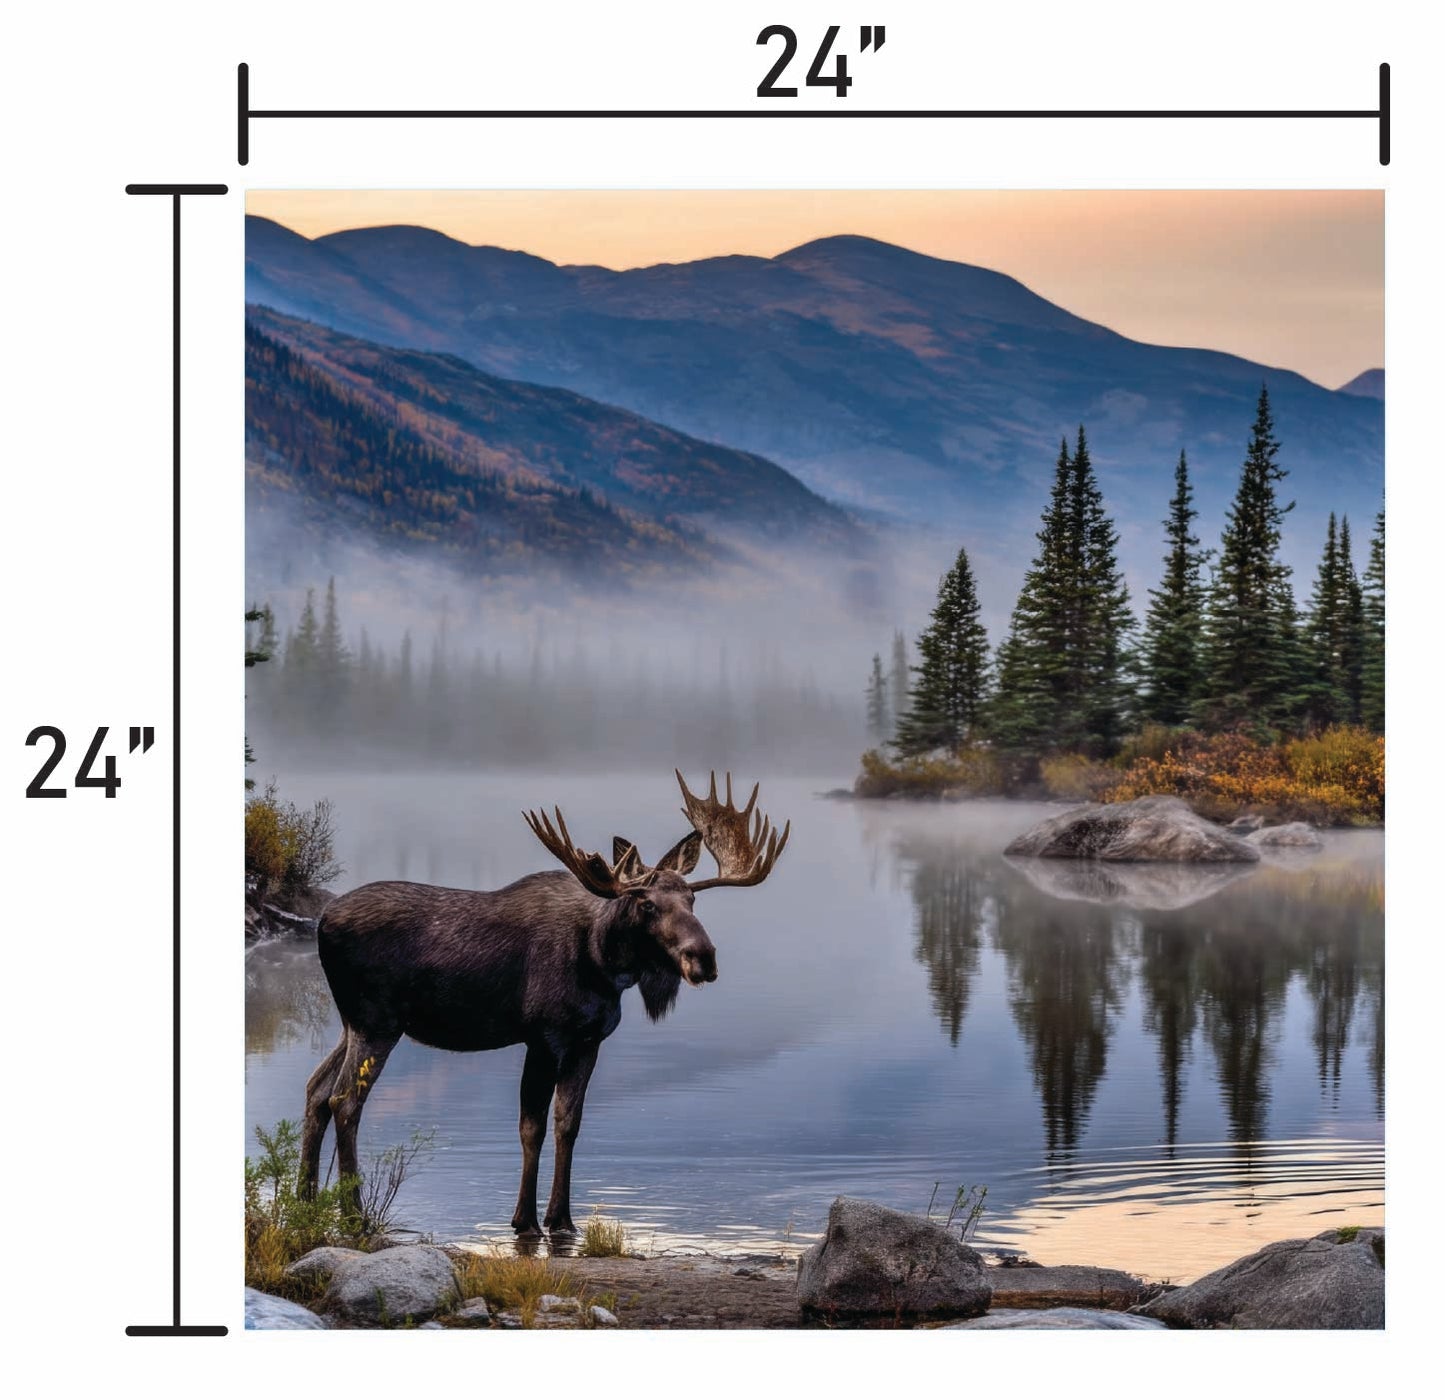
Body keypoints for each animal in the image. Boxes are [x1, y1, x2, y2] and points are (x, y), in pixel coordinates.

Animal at [299, 770, 789, 1236]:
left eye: (692, 898)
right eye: (646, 904)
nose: (702, 957)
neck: (603, 961)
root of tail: (321, 922)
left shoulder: (588, 1041)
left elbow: (568, 1124)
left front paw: (563, 1219)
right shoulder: (544, 1036)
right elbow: (531, 1127)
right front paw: (525, 1220)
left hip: (354, 1023)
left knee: (316, 1089)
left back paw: (304, 1202)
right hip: (376, 1022)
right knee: (345, 1100)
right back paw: (353, 1217)